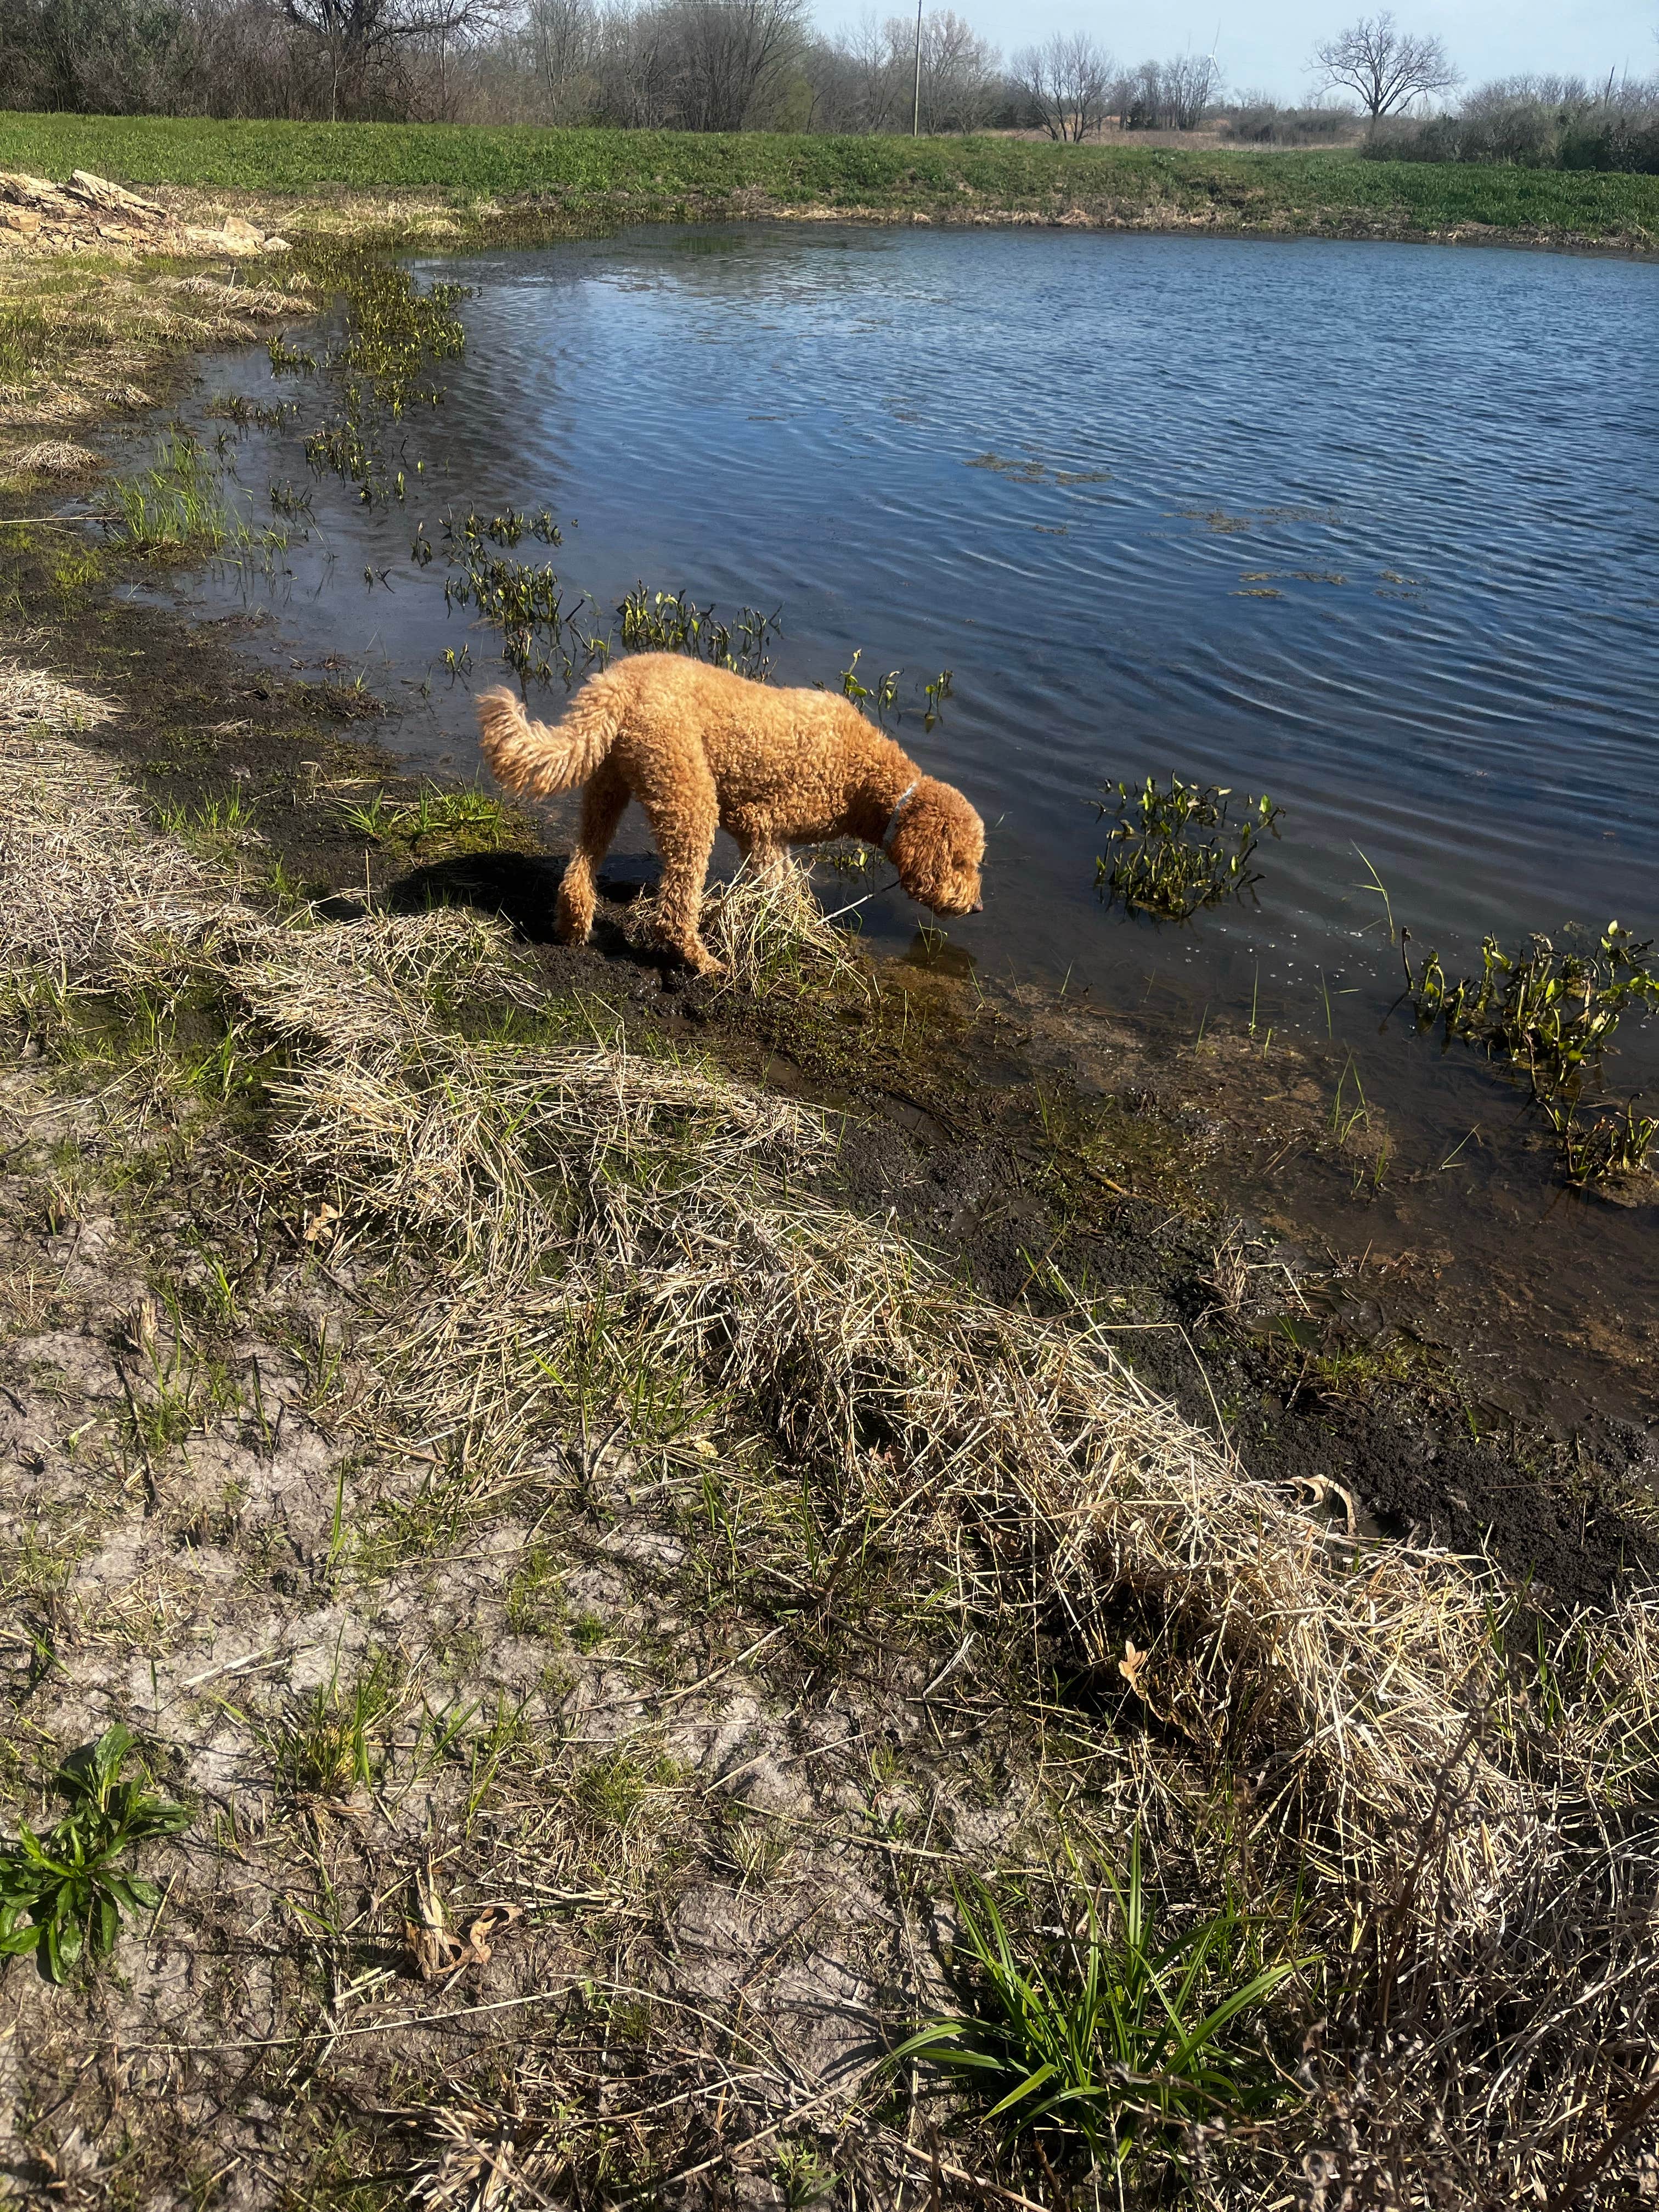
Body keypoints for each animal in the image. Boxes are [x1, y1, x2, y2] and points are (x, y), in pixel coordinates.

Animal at [473, 650, 982, 973]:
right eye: (961, 862)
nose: (976, 907)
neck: (867, 779)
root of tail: (618, 684)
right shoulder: (757, 822)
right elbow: (777, 879)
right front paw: (792, 922)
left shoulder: (770, 833)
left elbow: (783, 880)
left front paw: (794, 917)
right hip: (690, 799)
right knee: (675, 910)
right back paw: (703, 962)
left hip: (605, 787)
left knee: (580, 865)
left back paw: (574, 927)